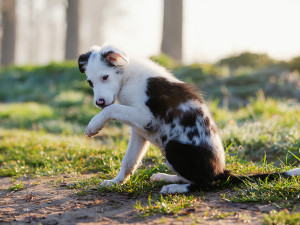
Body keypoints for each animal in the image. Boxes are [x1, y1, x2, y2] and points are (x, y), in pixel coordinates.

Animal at [78, 44, 300, 194]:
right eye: (90, 82)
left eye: (105, 77)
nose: (99, 102)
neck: (127, 78)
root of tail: (221, 172)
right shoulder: (139, 131)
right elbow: (129, 161)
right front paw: (115, 182)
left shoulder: (146, 118)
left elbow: (113, 108)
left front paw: (93, 125)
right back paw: (166, 177)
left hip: (174, 147)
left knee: (204, 184)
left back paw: (175, 188)